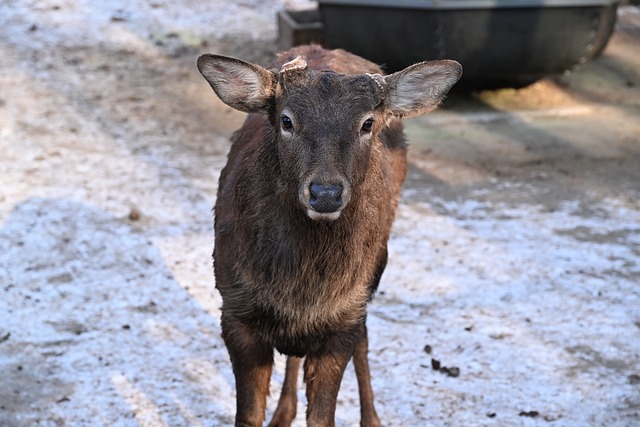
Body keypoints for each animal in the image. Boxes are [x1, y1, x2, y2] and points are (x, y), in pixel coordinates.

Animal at [197, 45, 461, 427]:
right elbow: (247, 416)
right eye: (286, 120)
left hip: (374, 271)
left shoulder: (343, 320)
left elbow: (324, 416)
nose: (325, 193)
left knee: (364, 339)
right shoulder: (234, 309)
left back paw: (372, 419)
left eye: (367, 123)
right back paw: (284, 412)